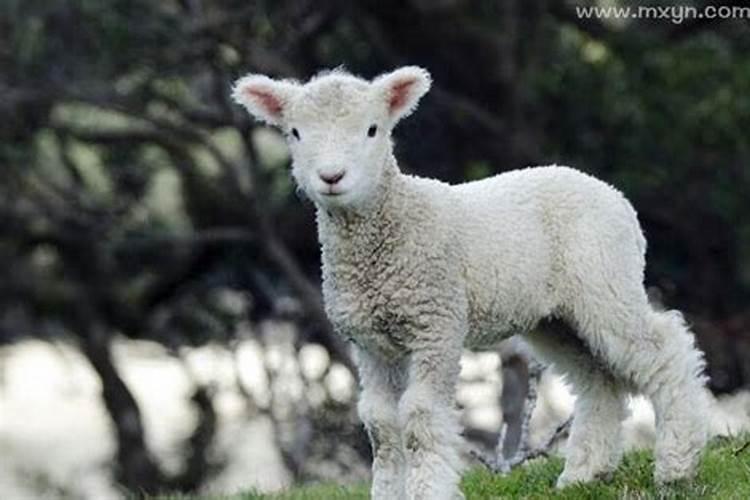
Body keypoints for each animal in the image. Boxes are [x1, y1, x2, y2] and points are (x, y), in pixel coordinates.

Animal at [232, 66, 712, 500]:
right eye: (295, 132)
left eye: (372, 130)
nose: (332, 178)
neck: (391, 227)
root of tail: (614, 196)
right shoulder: (369, 343)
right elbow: (381, 424)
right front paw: (388, 492)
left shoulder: (436, 325)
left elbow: (420, 418)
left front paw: (428, 491)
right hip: (555, 318)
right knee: (597, 380)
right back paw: (583, 475)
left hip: (605, 279)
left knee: (664, 351)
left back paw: (676, 465)